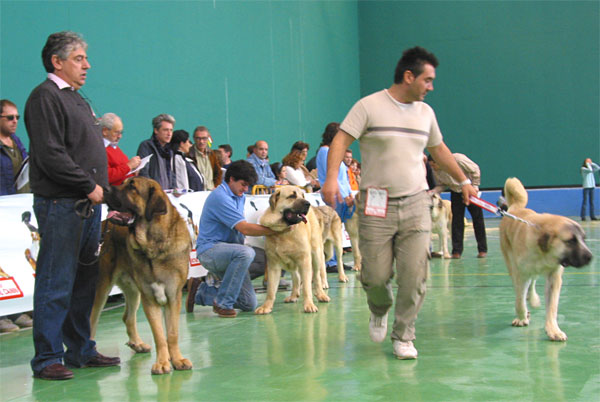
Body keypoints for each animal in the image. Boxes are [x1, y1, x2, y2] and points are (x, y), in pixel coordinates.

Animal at [90, 178, 192, 374]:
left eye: (132, 187)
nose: (104, 188)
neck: (154, 244)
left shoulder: (173, 296)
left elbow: (172, 333)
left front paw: (177, 359)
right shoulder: (150, 298)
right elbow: (159, 334)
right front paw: (162, 362)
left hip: (133, 291)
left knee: (127, 317)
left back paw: (137, 344)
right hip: (102, 287)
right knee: (91, 319)